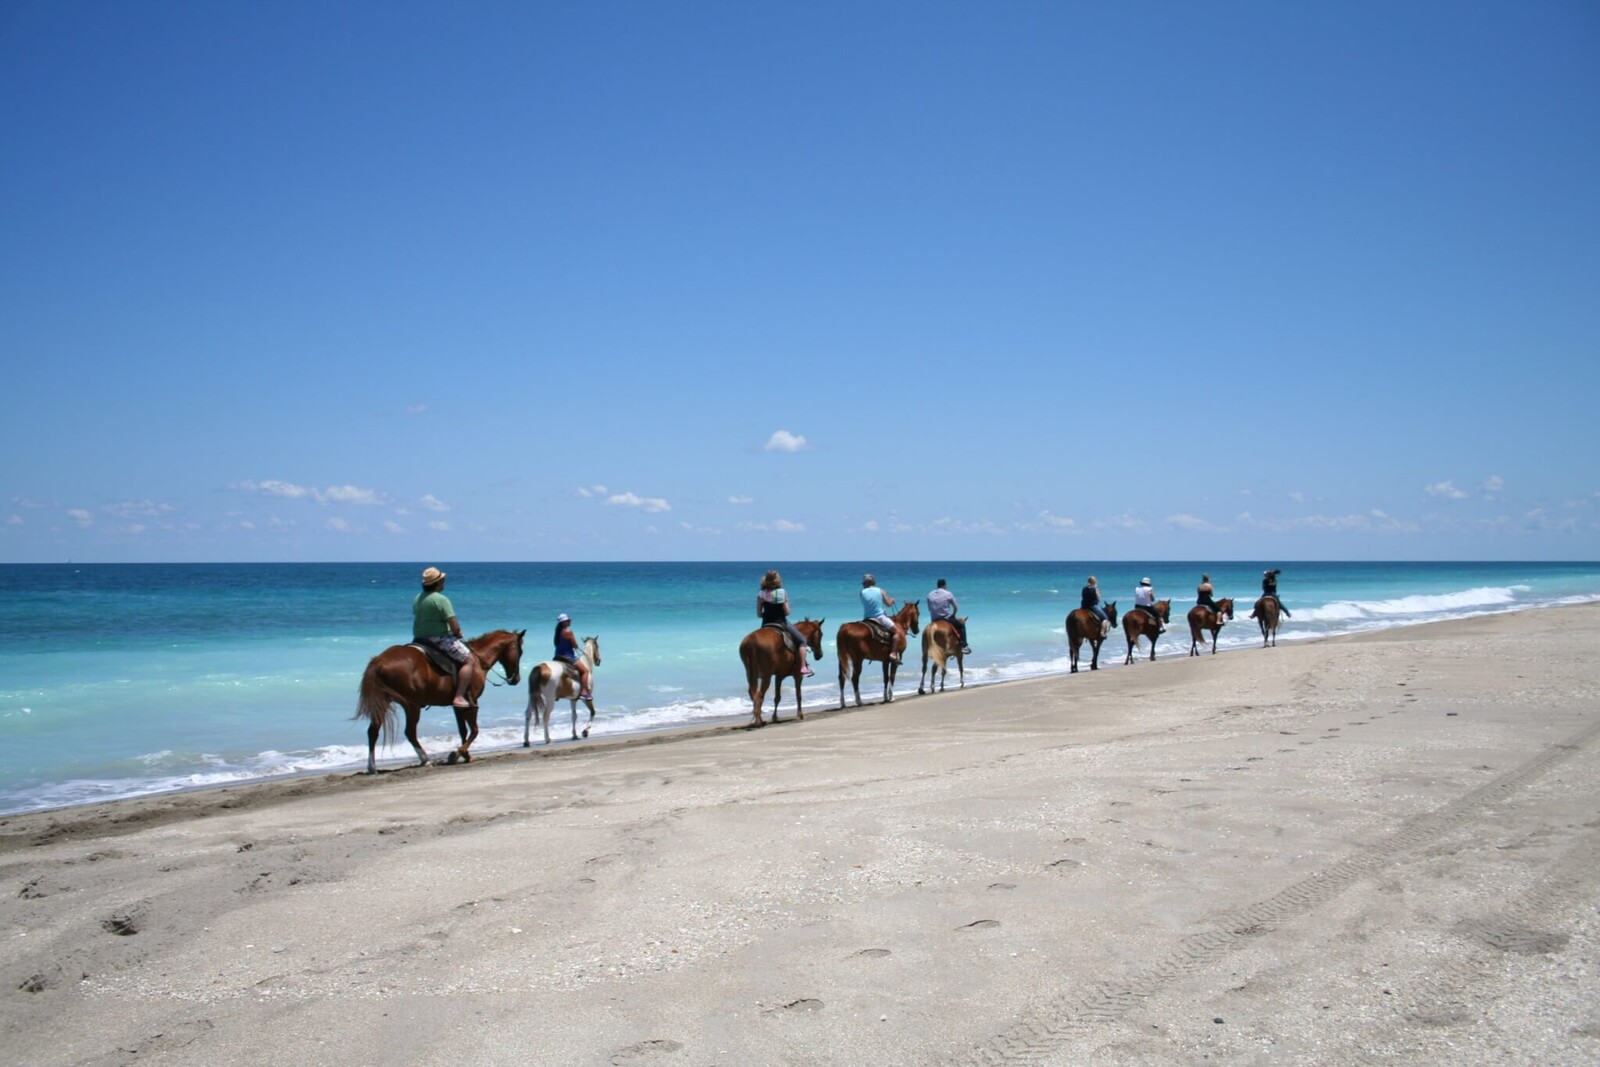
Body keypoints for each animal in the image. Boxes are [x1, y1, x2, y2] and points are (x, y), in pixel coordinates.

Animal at [355, 630, 524, 771]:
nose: (516, 679)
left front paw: (465, 755)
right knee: (410, 732)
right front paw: (458, 753)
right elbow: (475, 730)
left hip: (383, 703)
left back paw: (372, 766)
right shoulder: (472, 703)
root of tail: (379, 661)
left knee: (373, 731)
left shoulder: (457, 706)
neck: (477, 661)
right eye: (520, 651)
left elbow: (463, 730)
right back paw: (425, 759)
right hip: (411, 705)